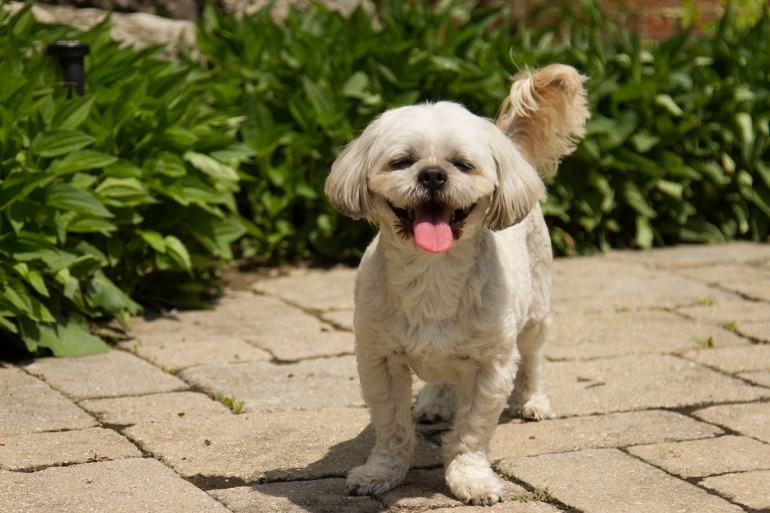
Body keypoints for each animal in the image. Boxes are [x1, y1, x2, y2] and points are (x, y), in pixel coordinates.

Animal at [324, 64, 588, 504]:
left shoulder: (492, 367)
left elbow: (471, 432)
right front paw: (382, 472)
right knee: (441, 374)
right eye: (402, 161)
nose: (433, 174)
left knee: (533, 357)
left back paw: (533, 400)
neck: (433, 276)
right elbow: (392, 427)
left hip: (536, 312)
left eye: (462, 164)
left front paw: (471, 478)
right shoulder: (378, 359)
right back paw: (435, 400)